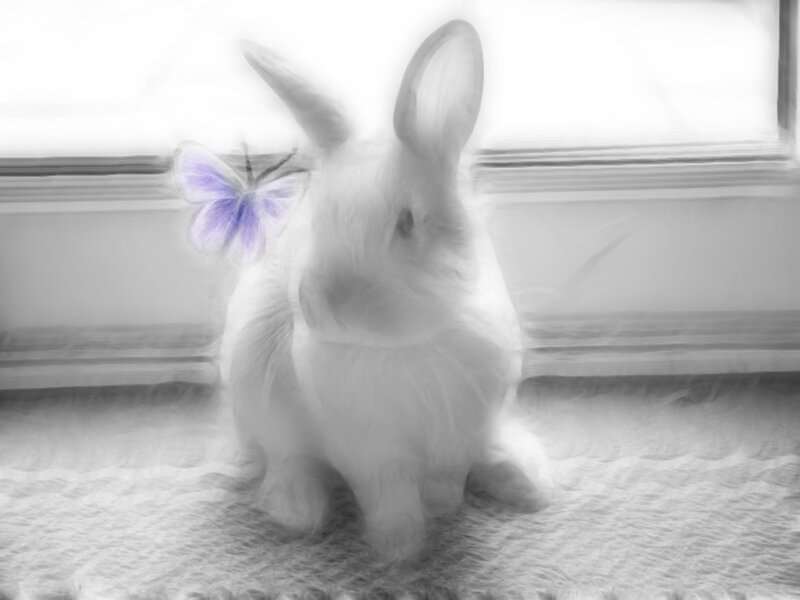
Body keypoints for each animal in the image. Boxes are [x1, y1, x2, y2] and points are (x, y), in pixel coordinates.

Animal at [219, 19, 555, 562]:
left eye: (407, 223)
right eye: (315, 219)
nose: (324, 305)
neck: (406, 349)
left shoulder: (460, 432)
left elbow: (447, 479)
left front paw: (441, 512)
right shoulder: (370, 451)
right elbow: (389, 493)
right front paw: (402, 547)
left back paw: (527, 480)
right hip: (259, 402)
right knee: (288, 461)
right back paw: (297, 510)